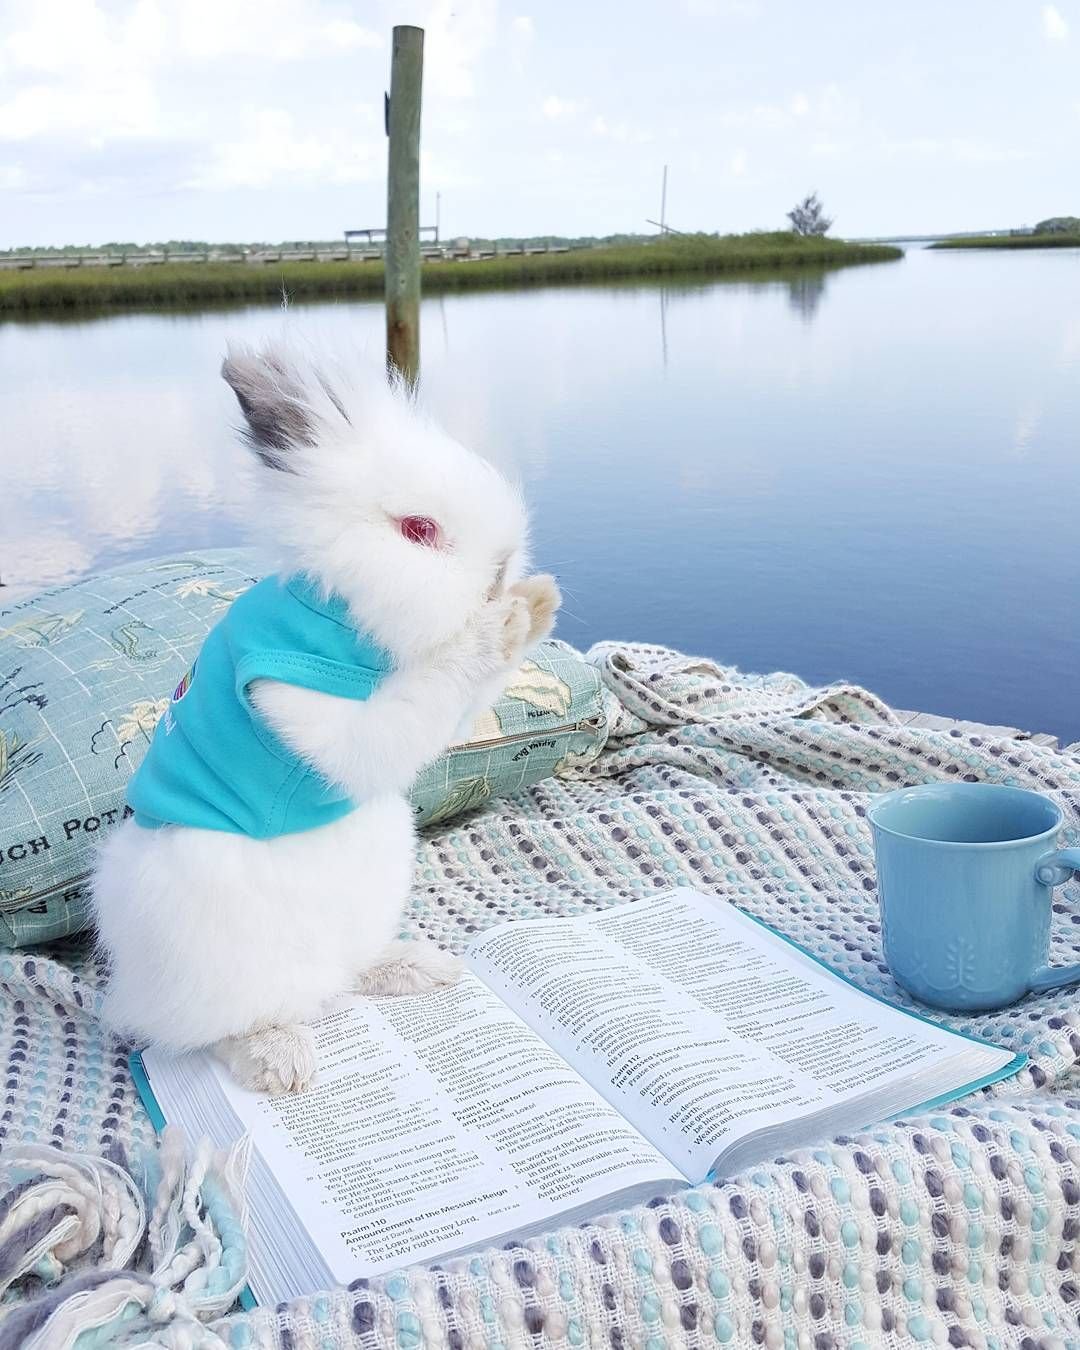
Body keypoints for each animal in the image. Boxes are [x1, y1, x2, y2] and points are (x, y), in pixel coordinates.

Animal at [92, 342, 560, 1095]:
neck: (341, 616)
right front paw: (510, 620)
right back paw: (281, 1060)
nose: (501, 573)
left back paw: (417, 967)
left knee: (350, 967)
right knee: (213, 1030)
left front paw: (538, 601)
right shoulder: (299, 696)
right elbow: (407, 711)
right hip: (216, 958)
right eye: (418, 530)